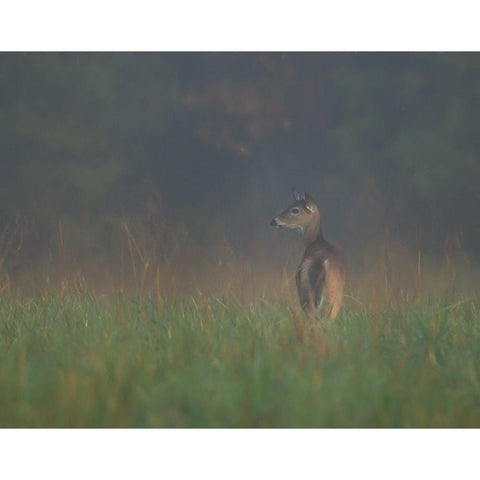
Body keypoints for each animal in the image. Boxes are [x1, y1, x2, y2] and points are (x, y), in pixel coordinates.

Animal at [270, 190, 344, 318]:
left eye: (295, 210)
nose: (273, 221)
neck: (314, 241)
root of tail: (322, 262)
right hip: (332, 293)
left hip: (306, 291)